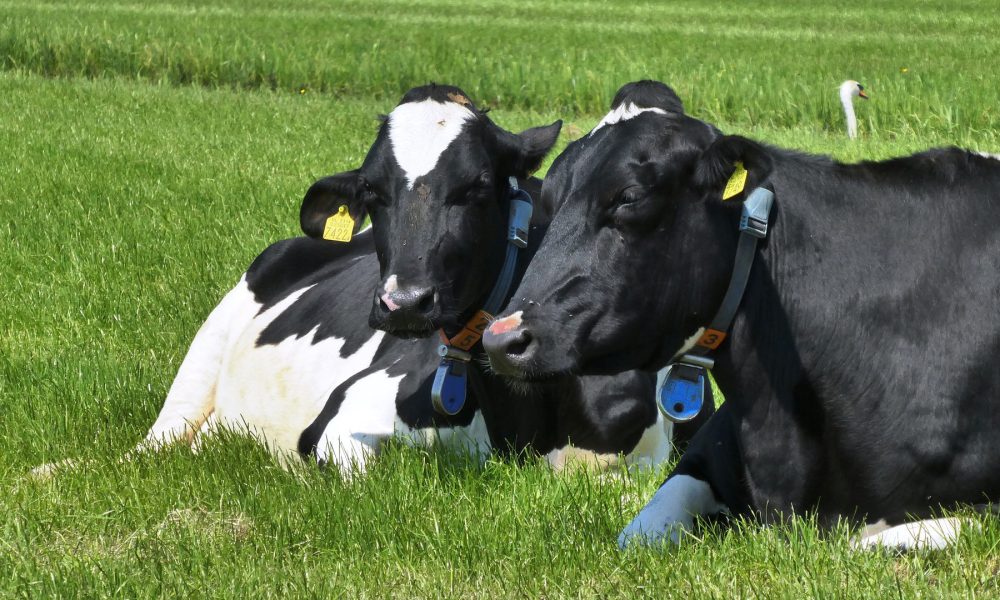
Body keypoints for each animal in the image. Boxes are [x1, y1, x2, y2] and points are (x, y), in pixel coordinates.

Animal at [95, 84, 687, 477]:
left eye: (477, 185)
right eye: (372, 191)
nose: (404, 302)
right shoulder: (344, 415)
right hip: (211, 340)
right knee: (158, 440)